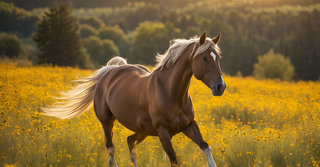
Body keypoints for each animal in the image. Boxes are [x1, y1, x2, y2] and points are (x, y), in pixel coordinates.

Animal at [42, 32, 226, 166]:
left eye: (218, 57)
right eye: (204, 58)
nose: (220, 87)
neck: (171, 92)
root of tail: (109, 73)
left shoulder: (188, 125)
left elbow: (206, 148)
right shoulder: (163, 132)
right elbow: (174, 159)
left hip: (143, 130)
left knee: (130, 142)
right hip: (107, 122)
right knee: (111, 150)